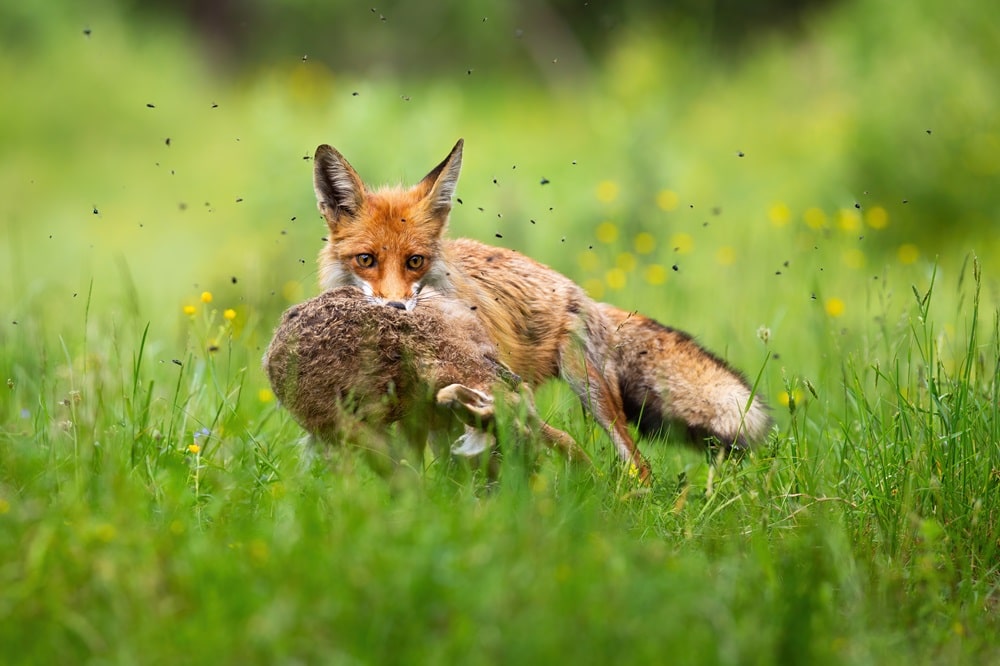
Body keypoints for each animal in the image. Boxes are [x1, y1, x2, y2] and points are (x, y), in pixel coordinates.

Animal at [312, 141, 772, 482]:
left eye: (415, 261)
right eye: (366, 260)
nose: (396, 306)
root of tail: (581, 293)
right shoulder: (419, 405)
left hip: (588, 388)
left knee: (636, 464)